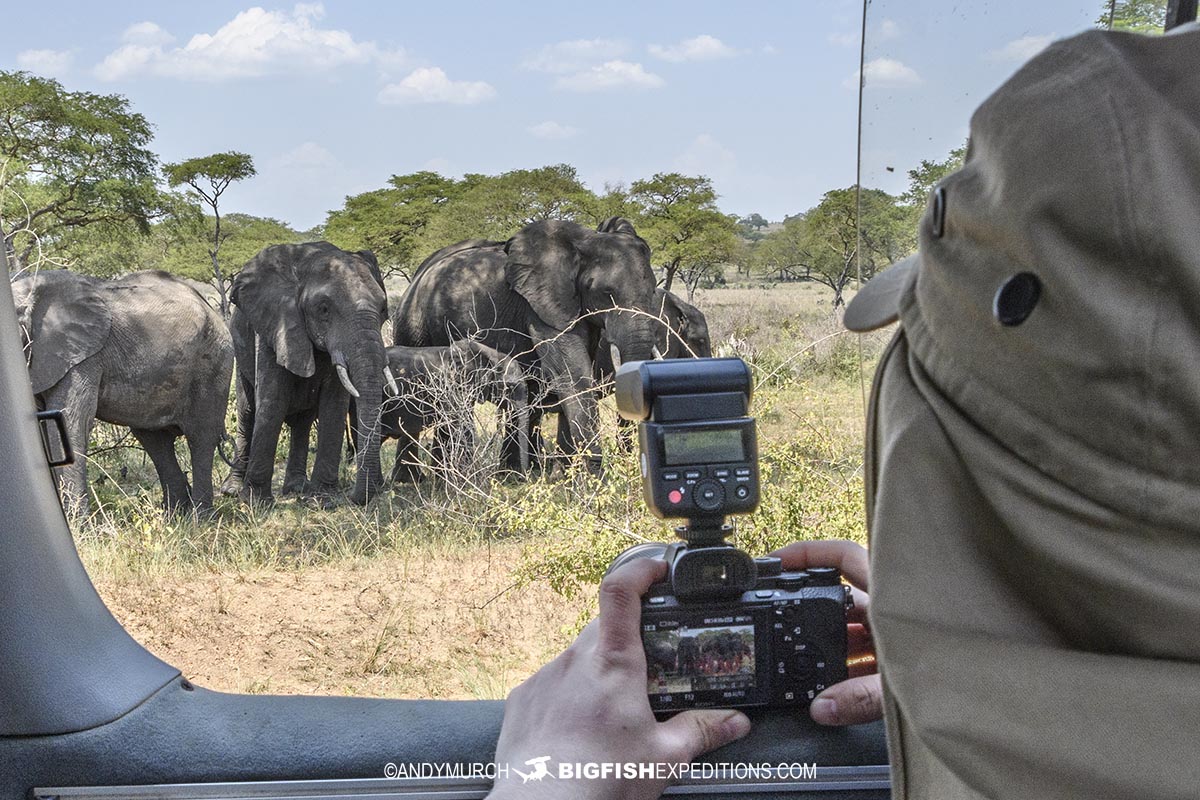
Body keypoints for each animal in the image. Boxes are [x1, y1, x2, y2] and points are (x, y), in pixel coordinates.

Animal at [11, 269, 233, 514]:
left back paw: (200, 517)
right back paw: (174, 516)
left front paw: (79, 523)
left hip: (213, 364)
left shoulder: (82, 357)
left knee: (200, 437)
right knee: (156, 441)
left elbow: (69, 423)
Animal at [219, 242, 390, 506]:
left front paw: (322, 499)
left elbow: (334, 405)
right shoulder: (274, 326)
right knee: (247, 413)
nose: (355, 498)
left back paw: (297, 488)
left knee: (303, 421)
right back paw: (232, 490)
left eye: (383, 309)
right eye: (324, 309)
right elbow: (273, 402)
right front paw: (256, 502)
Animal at [375, 340, 529, 484]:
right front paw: (469, 479)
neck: (490, 354)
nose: (522, 478)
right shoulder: (452, 387)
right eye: (510, 387)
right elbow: (461, 426)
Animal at [391, 217, 660, 473]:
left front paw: (565, 476)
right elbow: (572, 373)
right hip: (412, 319)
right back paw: (413, 479)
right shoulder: (541, 306)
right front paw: (591, 477)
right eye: (606, 293)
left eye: (653, 291)